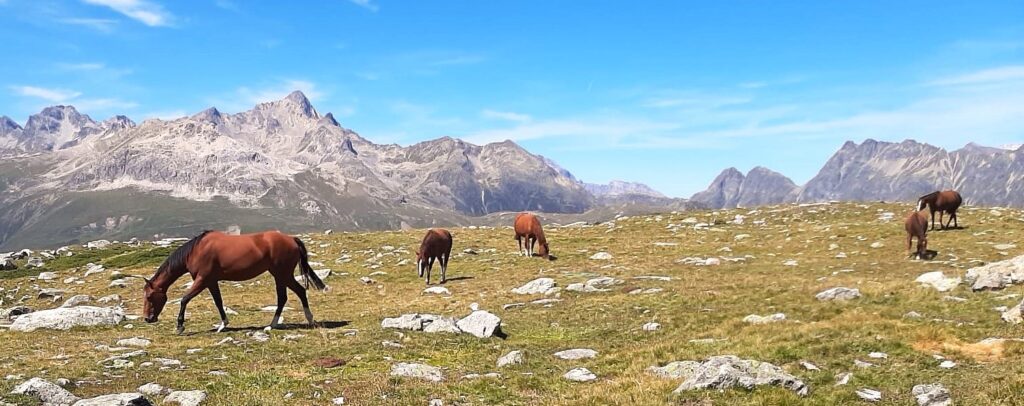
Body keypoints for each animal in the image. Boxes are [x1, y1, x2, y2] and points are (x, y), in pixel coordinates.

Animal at [139, 230, 326, 335]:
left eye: (149, 297)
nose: (148, 319)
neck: (196, 251)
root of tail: (292, 239)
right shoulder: (211, 282)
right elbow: (218, 302)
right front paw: (223, 325)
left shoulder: (202, 280)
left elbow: (184, 299)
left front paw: (179, 327)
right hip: (281, 275)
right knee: (295, 293)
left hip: (282, 274)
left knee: (290, 295)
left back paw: (277, 325)